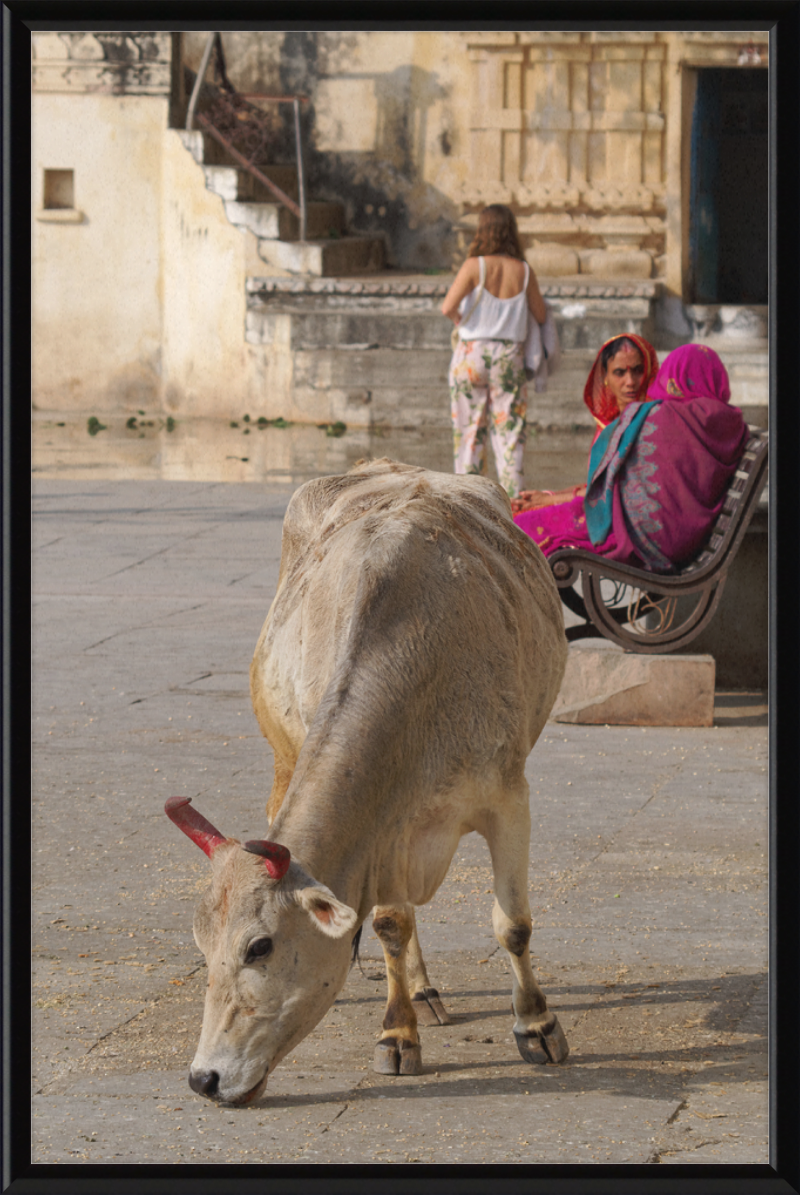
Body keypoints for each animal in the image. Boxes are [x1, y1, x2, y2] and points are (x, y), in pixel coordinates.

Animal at [167, 456, 566, 1099]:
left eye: (260, 946)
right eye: (202, 943)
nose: (204, 1078)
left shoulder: (509, 798)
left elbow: (514, 925)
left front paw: (536, 1024)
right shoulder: (383, 826)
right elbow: (389, 923)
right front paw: (397, 1034)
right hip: (285, 758)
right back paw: (418, 992)